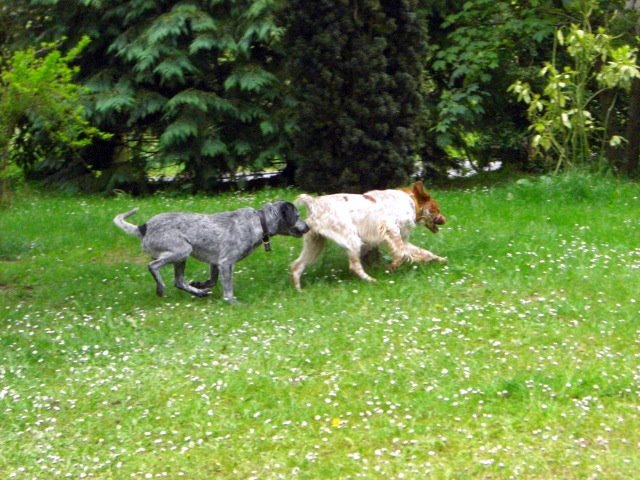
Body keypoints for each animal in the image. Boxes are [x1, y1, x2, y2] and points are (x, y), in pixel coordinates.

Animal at [115, 201, 310, 302]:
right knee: (153, 266)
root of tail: (143, 228)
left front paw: (201, 285)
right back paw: (160, 288)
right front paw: (231, 301)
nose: (308, 227)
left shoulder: (215, 263)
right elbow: (227, 286)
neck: (259, 221)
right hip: (182, 250)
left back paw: (198, 292)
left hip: (181, 257)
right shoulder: (225, 262)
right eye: (298, 216)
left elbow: (212, 280)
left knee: (179, 281)